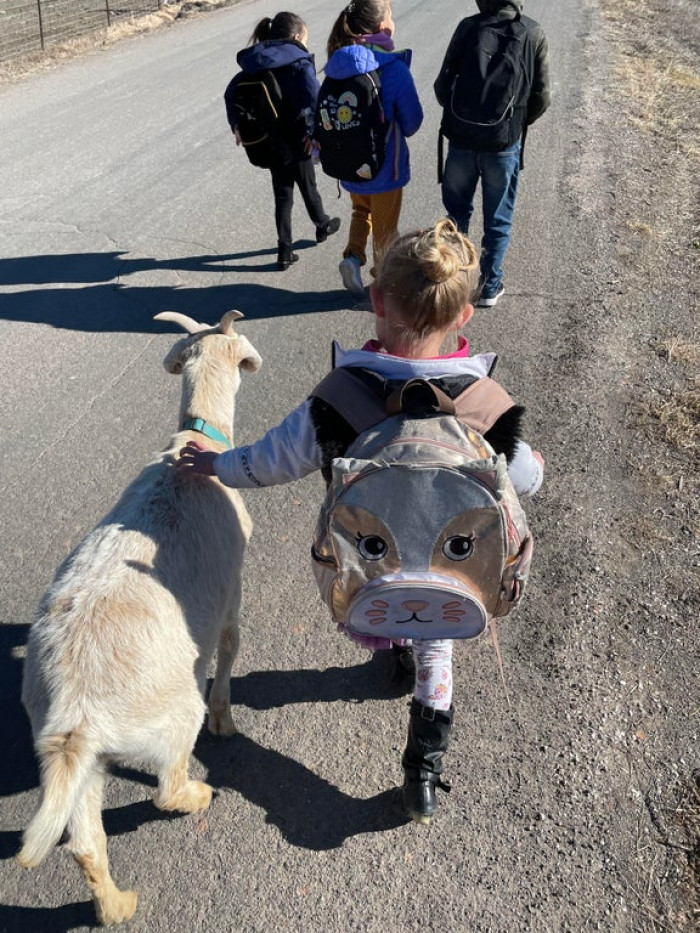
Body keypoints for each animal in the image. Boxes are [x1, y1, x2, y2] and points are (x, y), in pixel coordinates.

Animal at [17, 310, 262, 920]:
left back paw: (115, 907)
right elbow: (230, 648)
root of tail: (75, 711)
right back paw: (198, 793)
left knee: (83, 841)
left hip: (77, 757)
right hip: (170, 714)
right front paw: (226, 719)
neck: (195, 444)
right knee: (166, 788)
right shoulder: (231, 589)